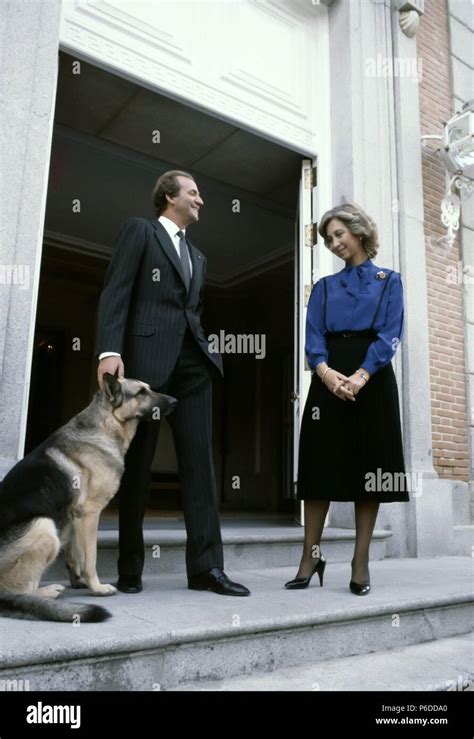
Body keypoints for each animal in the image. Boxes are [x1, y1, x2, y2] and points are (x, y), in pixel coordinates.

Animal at [0, 376, 176, 624]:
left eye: (148, 388)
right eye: (141, 392)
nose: (175, 401)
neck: (106, 425)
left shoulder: (77, 517)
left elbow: (76, 553)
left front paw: (78, 580)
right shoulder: (90, 514)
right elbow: (90, 557)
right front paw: (97, 587)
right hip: (44, 527)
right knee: (20, 590)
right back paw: (49, 592)